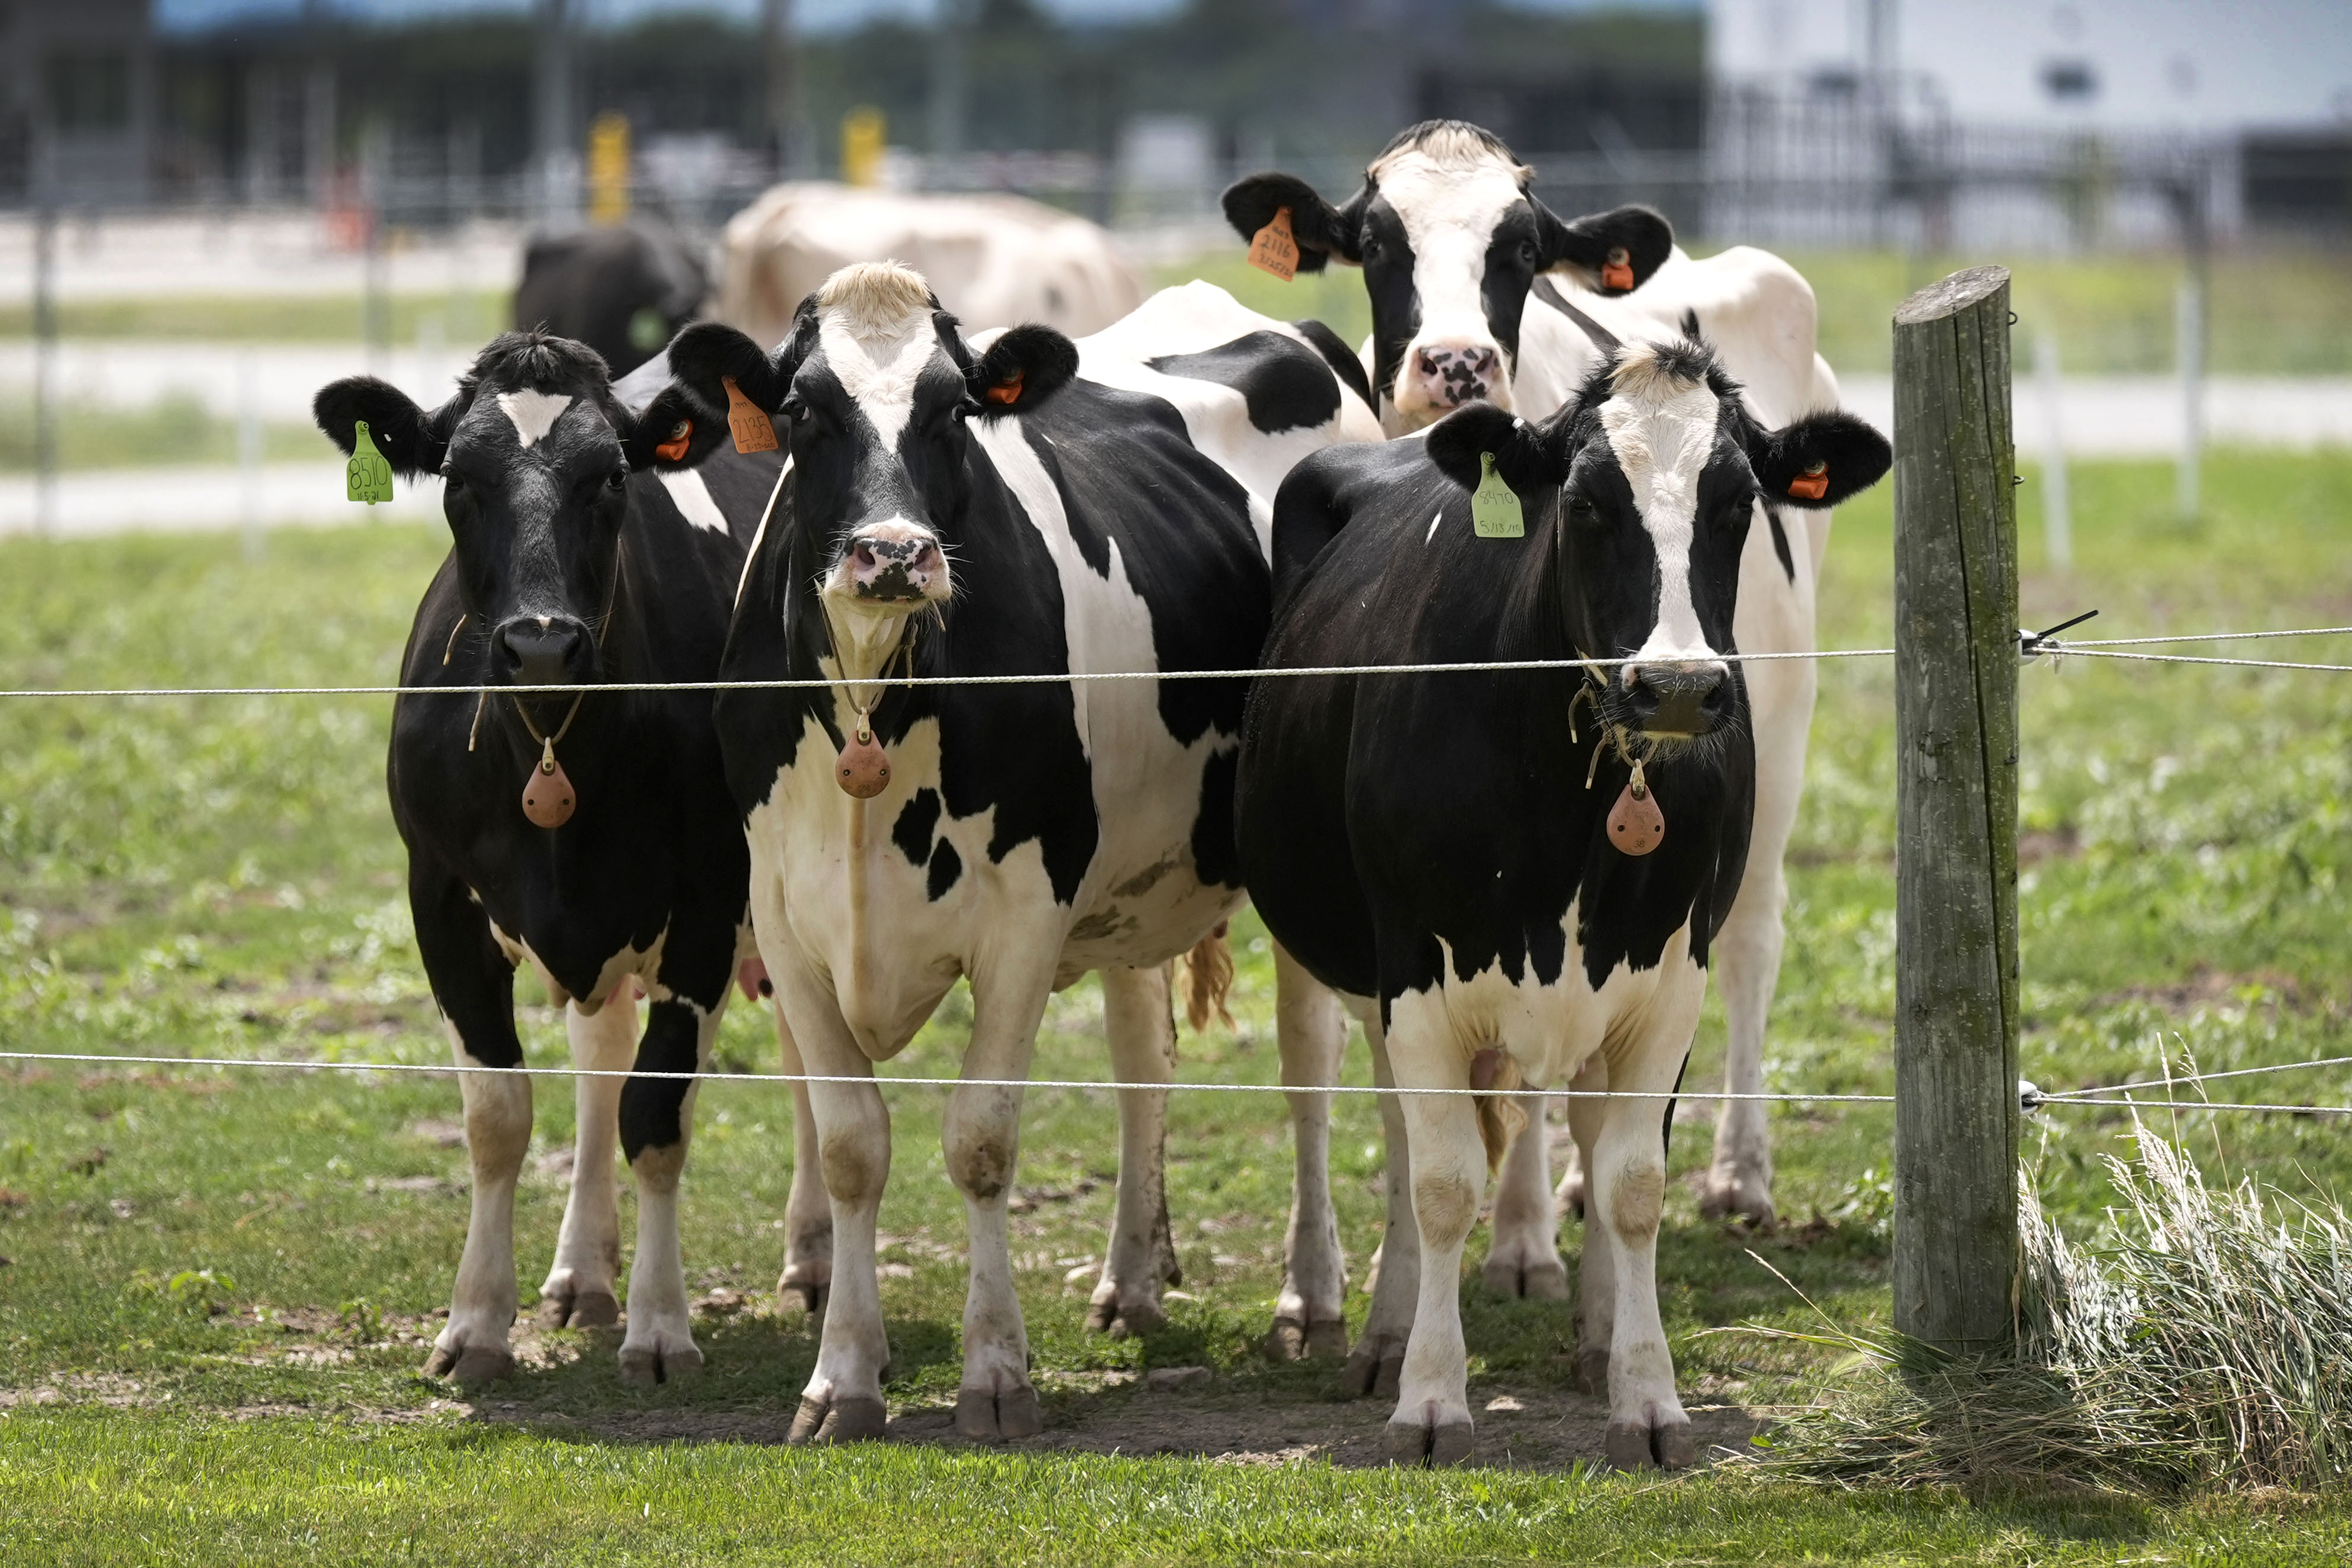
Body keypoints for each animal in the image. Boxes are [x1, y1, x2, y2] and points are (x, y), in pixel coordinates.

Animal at [312, 331, 827, 1382]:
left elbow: (657, 1116)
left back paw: (810, 1258)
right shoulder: (440, 898)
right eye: (459, 479)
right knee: (600, 1061)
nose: (542, 643)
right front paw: (475, 1322)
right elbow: (500, 1116)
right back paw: (583, 1271)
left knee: (799, 1057)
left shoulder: (708, 903)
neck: (554, 747)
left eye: (610, 478)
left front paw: (662, 1325)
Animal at [653, 263, 1383, 1438]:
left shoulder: (1024, 915)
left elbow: (981, 1140)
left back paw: (1309, 1297)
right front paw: (842, 1377)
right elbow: (851, 1146)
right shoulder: (787, 918)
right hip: (1131, 876)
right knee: (1141, 1060)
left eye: (954, 407)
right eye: (803, 406)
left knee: (1306, 1069)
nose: (892, 553)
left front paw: (994, 1372)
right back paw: (1130, 1279)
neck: (874, 702)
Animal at [1232, 116, 1853, 1260]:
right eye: (1375, 243)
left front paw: (1521, 1238)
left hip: (1784, 726)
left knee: (1751, 936)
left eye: (1518, 249)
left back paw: (1736, 1171)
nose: (1454, 363)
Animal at [1242, 334, 1881, 1476]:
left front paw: (1645, 1393)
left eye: (1736, 503)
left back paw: (1588, 1331)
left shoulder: (1670, 974)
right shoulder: (1414, 970)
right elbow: (1441, 1183)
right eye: (1583, 503)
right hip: (1356, 968)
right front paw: (1430, 1398)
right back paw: (1387, 1333)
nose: (1677, 687)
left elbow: (1631, 1181)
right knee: (1397, 1131)